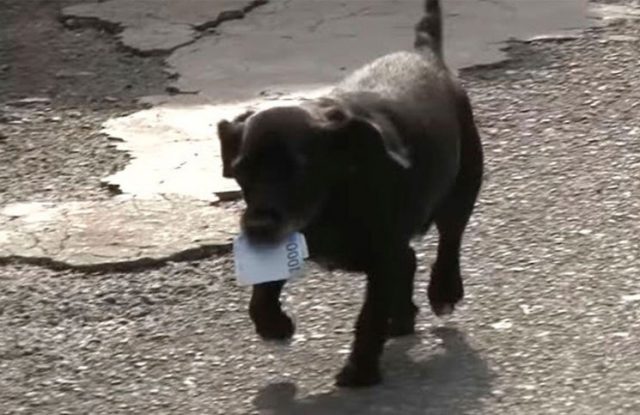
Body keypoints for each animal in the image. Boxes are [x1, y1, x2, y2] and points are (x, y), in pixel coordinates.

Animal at [218, 0, 482, 388]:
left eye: (299, 169)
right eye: (241, 170)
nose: (256, 227)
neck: (334, 200)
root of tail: (426, 53)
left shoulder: (382, 256)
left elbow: (369, 315)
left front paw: (360, 370)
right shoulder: (290, 236)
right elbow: (263, 291)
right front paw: (274, 325)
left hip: (464, 182)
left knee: (449, 240)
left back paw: (443, 292)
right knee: (410, 260)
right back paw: (402, 317)